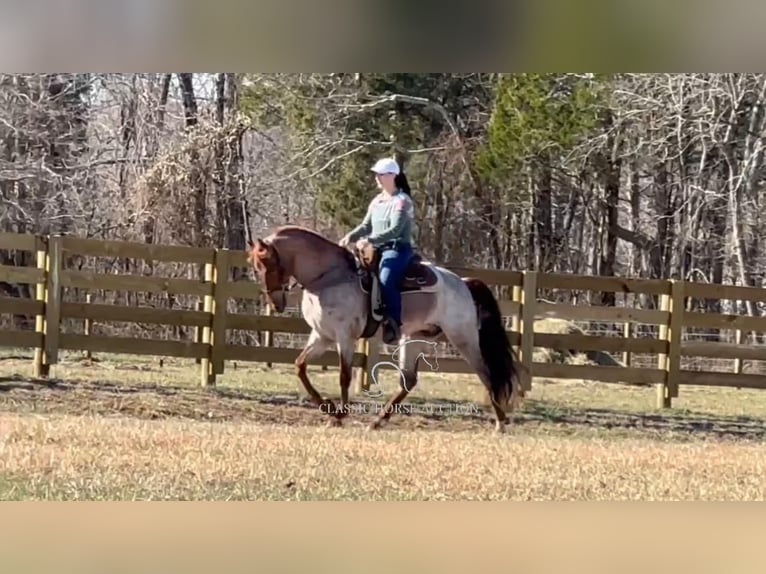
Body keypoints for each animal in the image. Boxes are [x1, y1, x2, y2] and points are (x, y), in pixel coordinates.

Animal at [248, 224, 528, 432]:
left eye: (267, 264)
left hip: (463, 338)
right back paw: (377, 421)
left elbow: (344, 376)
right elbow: (300, 366)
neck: (329, 277)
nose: (275, 302)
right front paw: (328, 409)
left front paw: (340, 414)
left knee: (486, 374)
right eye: (256, 267)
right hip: (415, 338)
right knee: (409, 379)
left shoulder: (344, 337)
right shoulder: (321, 336)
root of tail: (464, 283)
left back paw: (501, 424)